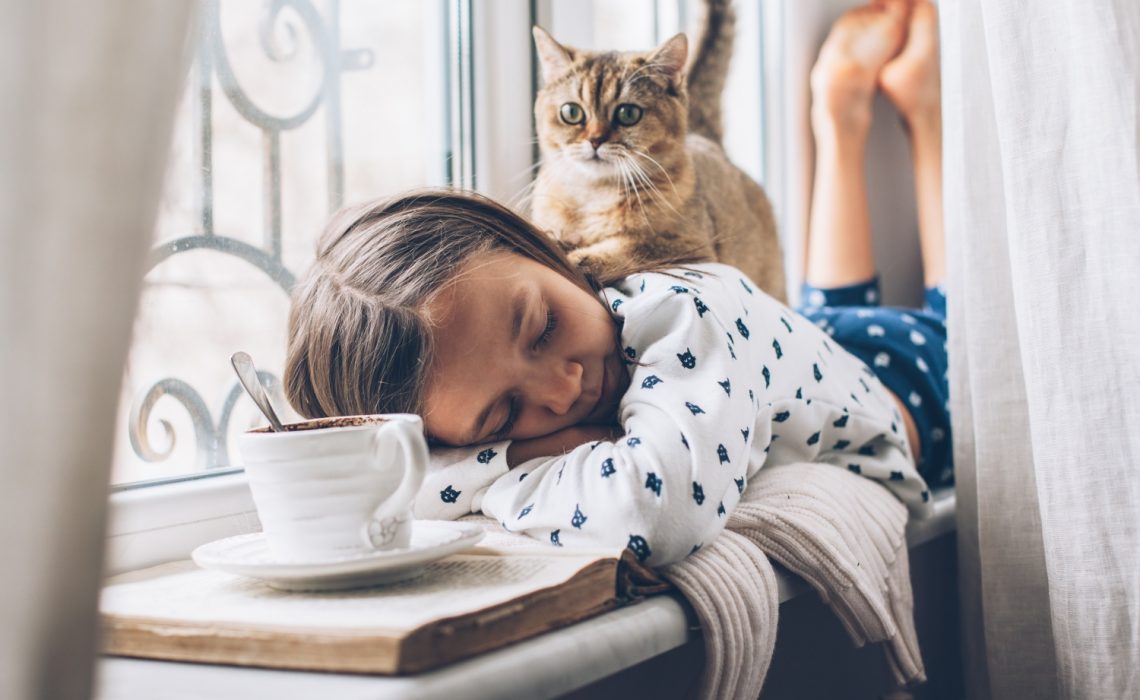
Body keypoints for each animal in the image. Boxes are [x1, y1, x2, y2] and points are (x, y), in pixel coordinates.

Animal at [526, 0, 784, 298]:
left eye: (628, 113)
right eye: (571, 112)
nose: (595, 140)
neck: (594, 195)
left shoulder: (689, 246)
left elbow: (633, 247)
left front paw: (579, 258)